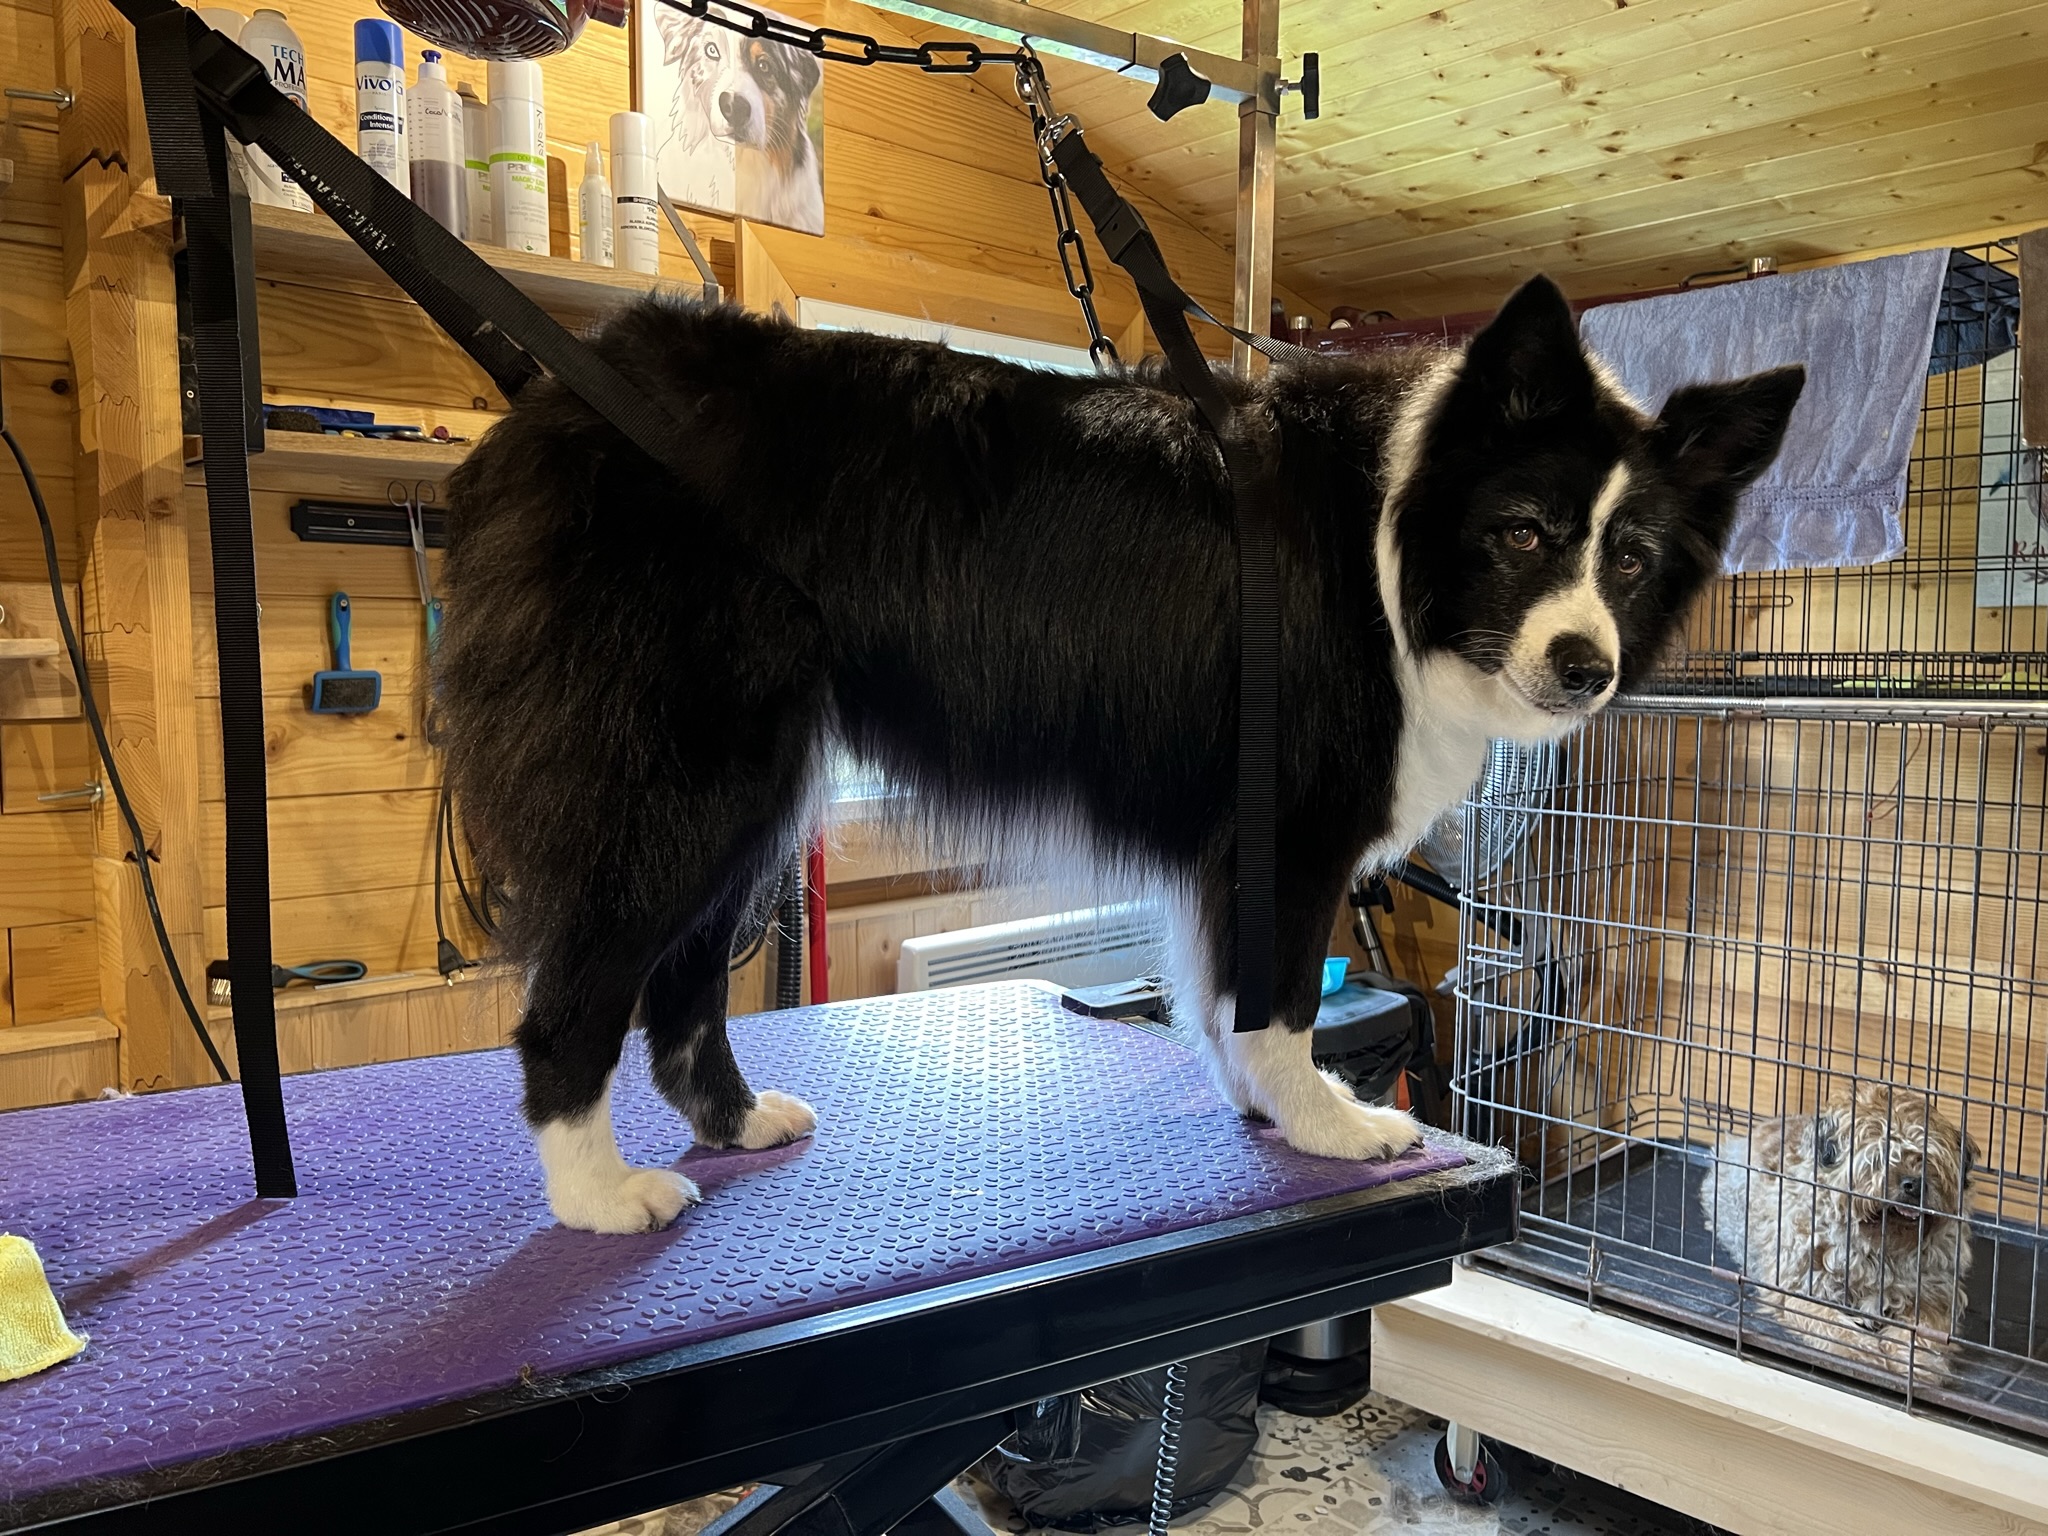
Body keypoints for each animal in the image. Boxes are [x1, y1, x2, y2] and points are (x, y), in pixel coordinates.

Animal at [437, 275, 1804, 1233]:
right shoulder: (1289, 820)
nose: (1585, 667)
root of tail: (559, 396)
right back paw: (596, 1194)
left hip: (751, 785)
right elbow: (1279, 995)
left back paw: (730, 1123)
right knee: (578, 994)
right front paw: (1326, 1124)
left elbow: (1222, 990)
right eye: (1522, 533)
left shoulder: (1233, 836)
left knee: (681, 976)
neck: (1389, 543)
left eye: (1629, 557)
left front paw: (1261, 1104)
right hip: (683, 771)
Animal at [1700, 1083, 1977, 1365]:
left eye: (1928, 1159)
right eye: (1879, 1158)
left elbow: (1922, 1336)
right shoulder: (1801, 1288)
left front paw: (1914, 1363)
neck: (1879, 1247)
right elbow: (1835, 1328)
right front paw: (1866, 1354)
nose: (1914, 1184)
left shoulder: (1934, 1296)